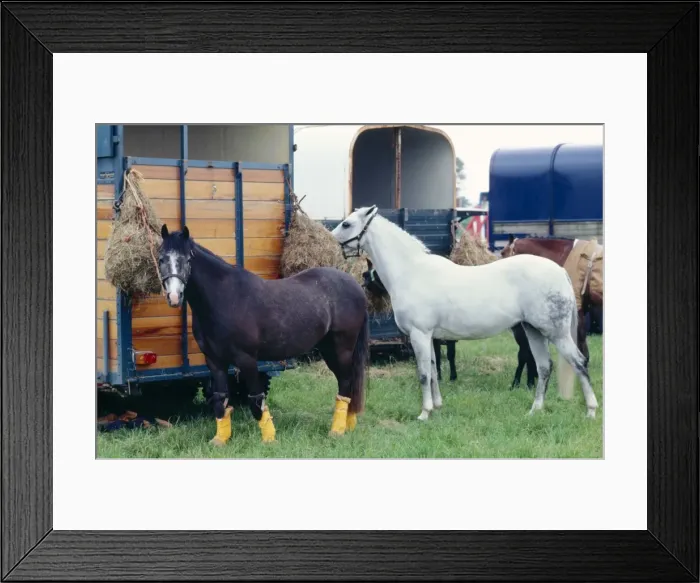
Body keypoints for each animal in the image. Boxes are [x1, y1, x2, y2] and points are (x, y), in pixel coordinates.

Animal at [158, 224, 370, 445]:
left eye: (187, 260)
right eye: (162, 259)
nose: (174, 297)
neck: (225, 297)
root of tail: (355, 285)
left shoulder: (247, 359)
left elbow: (256, 401)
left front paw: (269, 439)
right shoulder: (215, 361)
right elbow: (220, 400)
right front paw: (220, 440)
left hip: (342, 347)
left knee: (345, 383)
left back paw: (336, 430)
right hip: (329, 349)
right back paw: (347, 425)